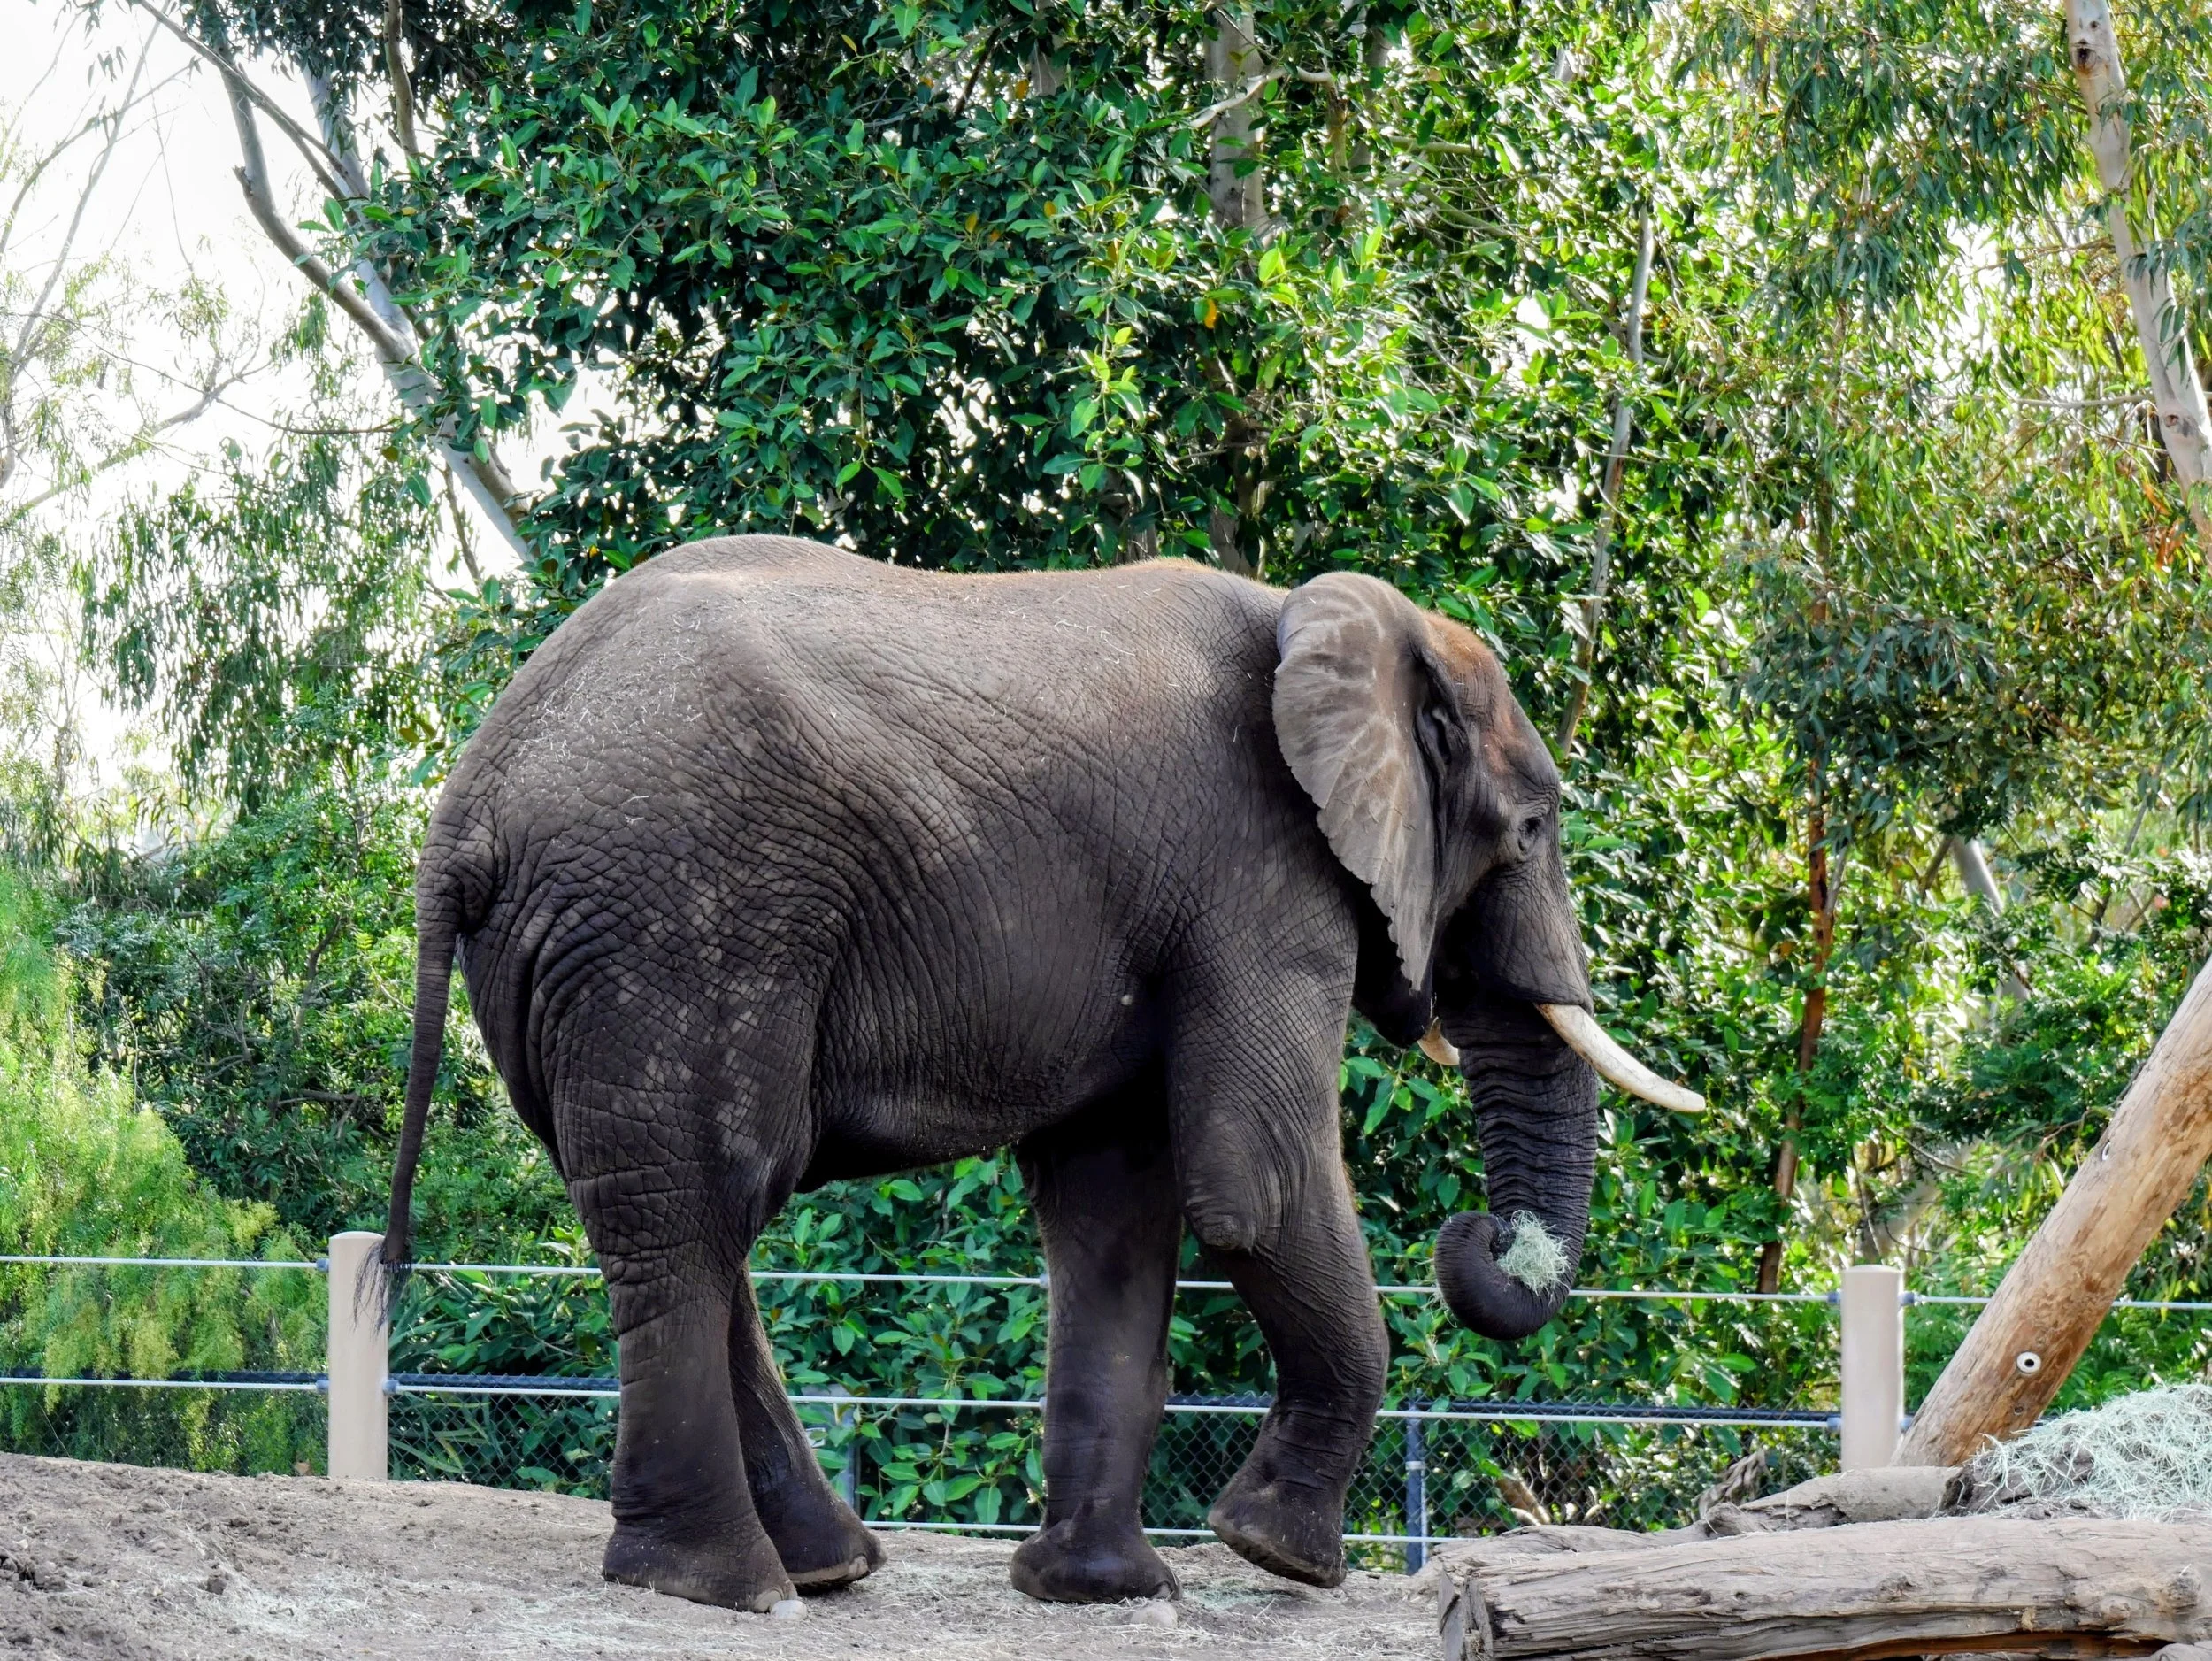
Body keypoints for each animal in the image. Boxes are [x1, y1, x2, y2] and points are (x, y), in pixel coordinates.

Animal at [381, 535, 1697, 1612]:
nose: (1479, 1236)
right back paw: (732, 1587)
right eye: (1532, 830)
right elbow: (1253, 1180)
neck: (1330, 618)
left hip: (591, 949)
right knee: (702, 1202)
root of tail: (465, 803)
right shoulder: (1259, 878)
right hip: (676, 917)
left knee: (682, 1217)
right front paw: (1281, 1556)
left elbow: (1116, 1206)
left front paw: (1099, 1590)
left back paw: (823, 1568)